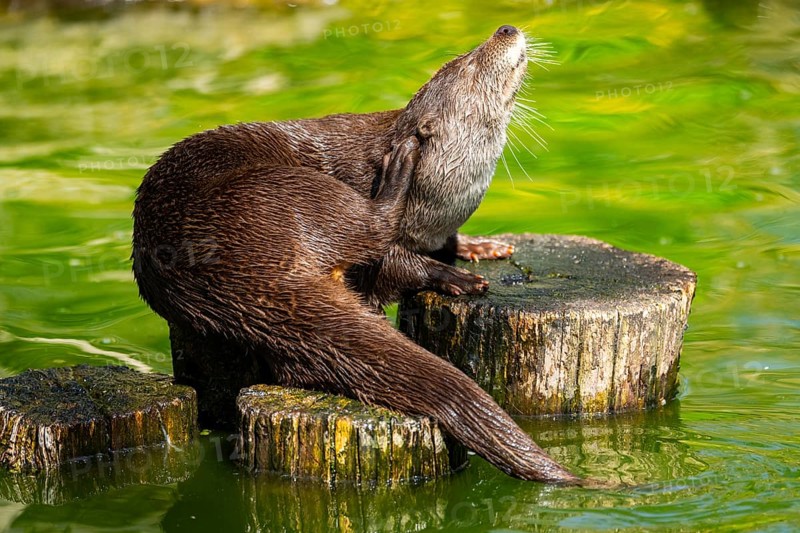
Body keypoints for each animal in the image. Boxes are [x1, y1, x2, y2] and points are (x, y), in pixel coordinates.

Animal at [132, 26, 579, 483]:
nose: (505, 29)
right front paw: (456, 275)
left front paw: (479, 246)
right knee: (369, 225)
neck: (444, 197)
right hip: (288, 193)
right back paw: (403, 171)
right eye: (469, 63)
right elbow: (396, 264)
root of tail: (227, 273)